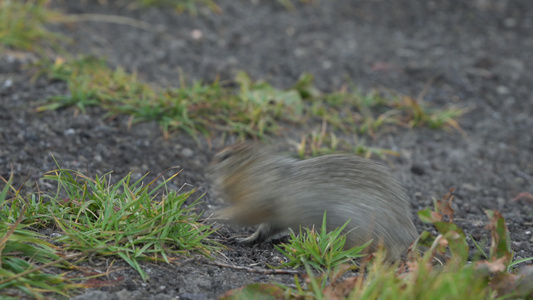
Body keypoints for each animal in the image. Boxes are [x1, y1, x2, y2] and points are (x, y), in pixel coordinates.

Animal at [208, 142, 420, 258]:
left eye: (226, 157)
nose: (213, 159)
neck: (258, 171)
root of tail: (409, 235)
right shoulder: (275, 218)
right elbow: (263, 231)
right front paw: (245, 239)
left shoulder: (258, 202)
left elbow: (244, 214)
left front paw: (215, 215)